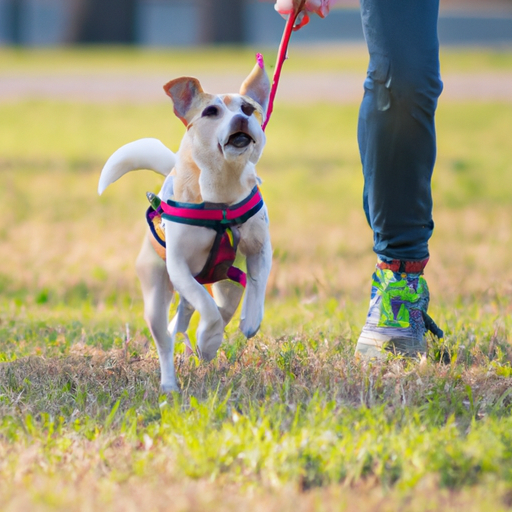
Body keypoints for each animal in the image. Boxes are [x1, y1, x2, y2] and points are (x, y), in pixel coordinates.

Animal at [97, 58, 272, 392]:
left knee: (210, 306)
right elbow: (205, 307)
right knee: (167, 336)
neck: (221, 194)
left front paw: (251, 321)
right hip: (156, 291)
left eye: (248, 108)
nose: (241, 119)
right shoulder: (178, 266)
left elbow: (256, 283)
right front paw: (209, 339)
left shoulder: (260, 248)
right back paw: (171, 382)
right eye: (211, 112)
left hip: (225, 283)